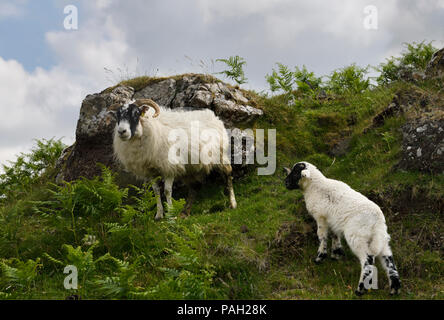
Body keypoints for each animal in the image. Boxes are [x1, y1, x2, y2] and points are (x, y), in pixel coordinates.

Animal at [284, 161, 402, 296]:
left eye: (295, 173)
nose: (285, 183)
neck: (314, 187)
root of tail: (377, 219)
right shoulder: (333, 220)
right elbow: (335, 235)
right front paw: (336, 254)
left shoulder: (320, 217)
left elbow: (322, 236)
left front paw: (320, 257)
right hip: (380, 238)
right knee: (389, 260)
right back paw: (394, 289)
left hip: (357, 236)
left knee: (367, 261)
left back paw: (360, 289)